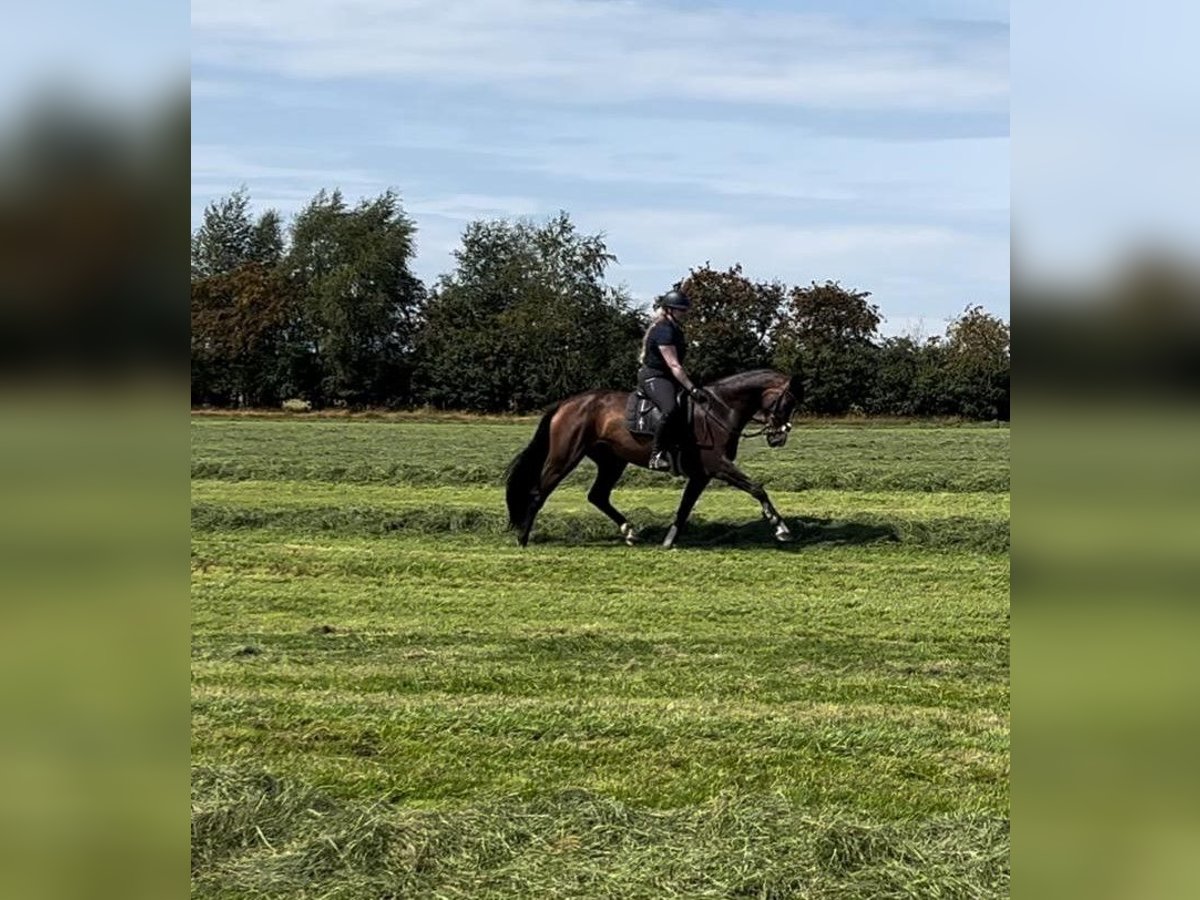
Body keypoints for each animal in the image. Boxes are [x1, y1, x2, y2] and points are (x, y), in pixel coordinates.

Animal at [501, 367, 801, 549]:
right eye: (788, 402)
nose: (778, 437)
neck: (719, 410)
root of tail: (566, 403)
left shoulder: (701, 475)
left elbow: (684, 507)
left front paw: (669, 540)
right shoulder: (718, 466)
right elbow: (757, 488)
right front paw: (780, 528)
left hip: (612, 462)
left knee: (598, 496)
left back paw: (629, 531)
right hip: (564, 458)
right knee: (538, 492)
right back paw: (523, 537)